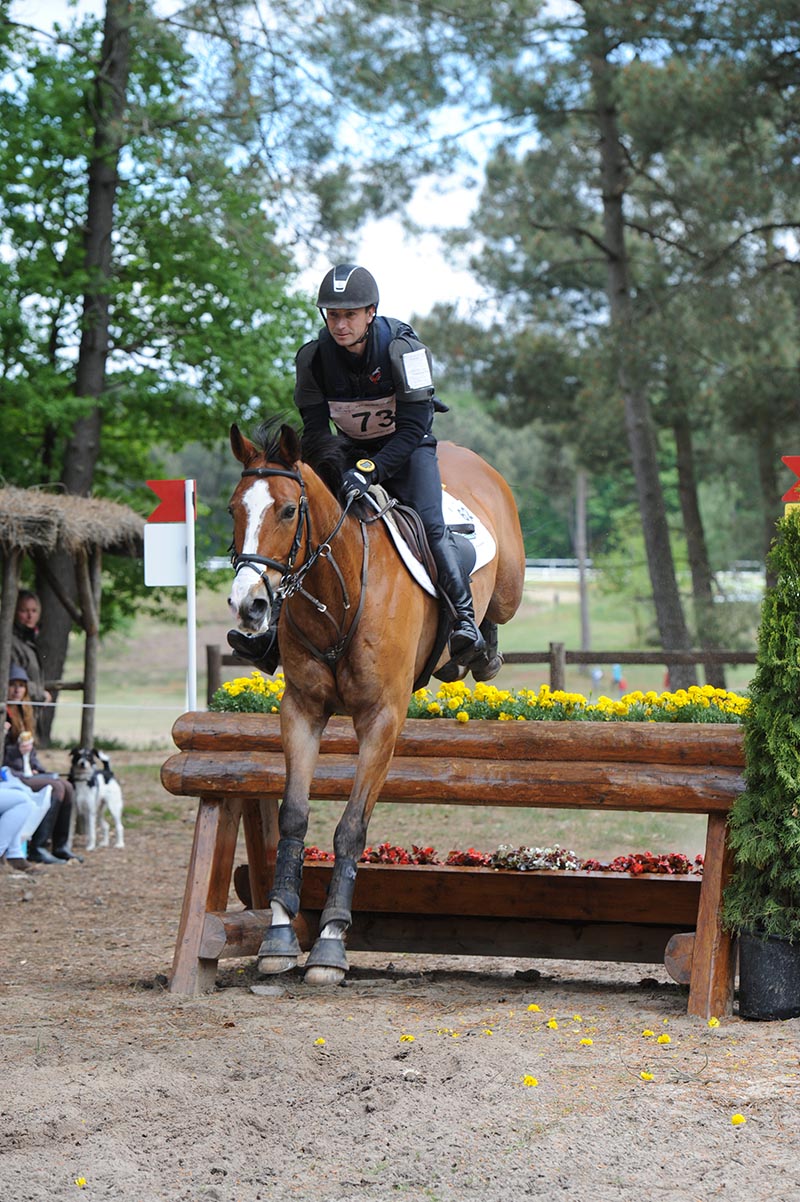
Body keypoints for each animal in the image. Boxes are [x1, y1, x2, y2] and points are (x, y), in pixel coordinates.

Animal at [225, 423, 523, 985]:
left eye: (289, 511)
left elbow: (350, 828)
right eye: (234, 509)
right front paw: (279, 933)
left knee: (496, 606)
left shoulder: (382, 719)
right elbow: (294, 815)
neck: (337, 593)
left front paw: (330, 941)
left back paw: (477, 646)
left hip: (509, 583)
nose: (248, 606)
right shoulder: (301, 711)